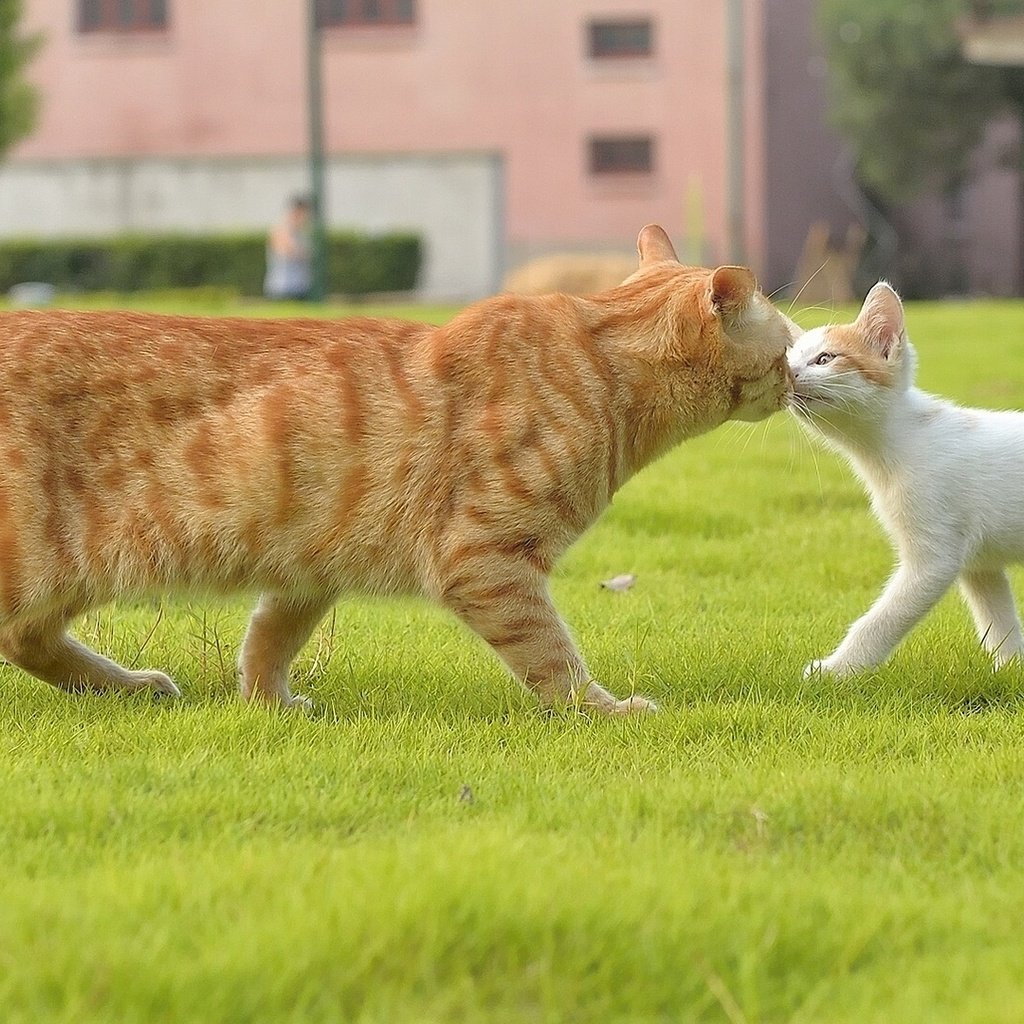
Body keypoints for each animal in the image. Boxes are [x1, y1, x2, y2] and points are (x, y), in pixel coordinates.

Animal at [0, 224, 790, 712]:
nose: (794, 378)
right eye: (784, 347)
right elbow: (553, 659)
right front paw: (604, 711)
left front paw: (266, 704)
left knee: (28, 639)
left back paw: (126, 687)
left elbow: (269, 639)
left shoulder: (308, 566)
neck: (603, 371)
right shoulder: (484, 558)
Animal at [786, 284, 1019, 675]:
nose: (786, 374)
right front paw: (1012, 668)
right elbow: (999, 620)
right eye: (787, 359)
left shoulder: (934, 556)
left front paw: (837, 671)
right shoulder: (980, 562)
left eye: (824, 359)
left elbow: (879, 620)